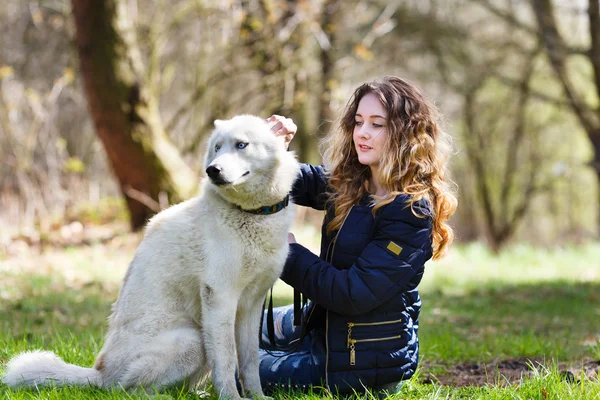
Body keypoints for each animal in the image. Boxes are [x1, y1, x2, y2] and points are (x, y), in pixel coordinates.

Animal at [1, 114, 298, 398]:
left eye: (241, 145)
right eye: (217, 148)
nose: (212, 170)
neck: (252, 214)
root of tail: (99, 374)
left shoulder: (252, 304)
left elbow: (249, 363)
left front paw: (257, 397)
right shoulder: (220, 298)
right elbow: (226, 362)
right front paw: (232, 398)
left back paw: (197, 393)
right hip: (193, 340)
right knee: (127, 390)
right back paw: (164, 396)